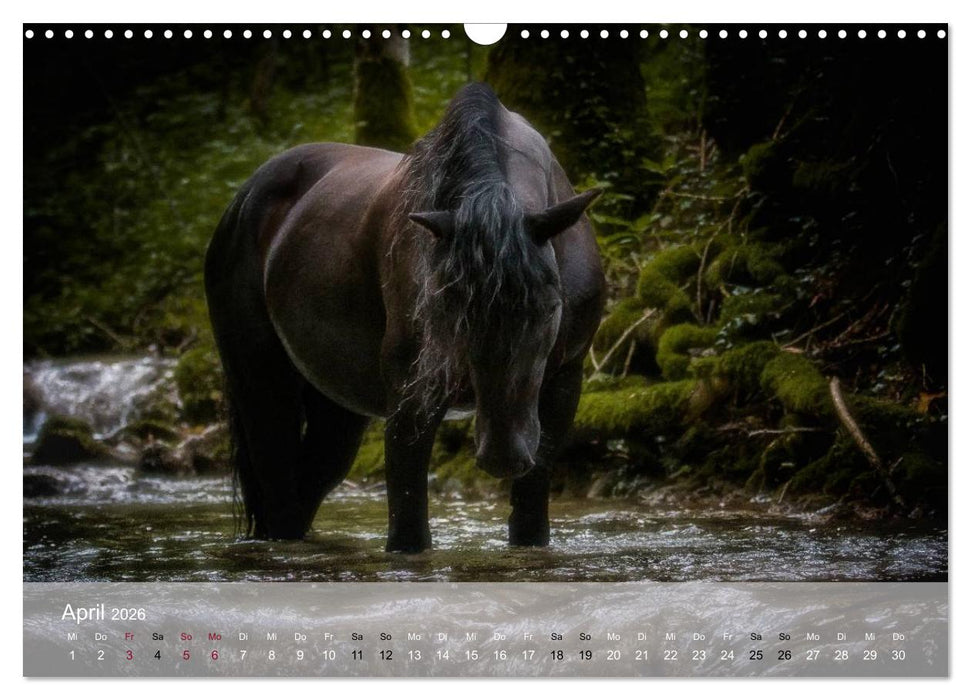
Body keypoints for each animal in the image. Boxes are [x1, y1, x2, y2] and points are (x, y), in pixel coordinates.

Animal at [204, 83, 605, 553]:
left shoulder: (564, 380)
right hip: (262, 382)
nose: (504, 455)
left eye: (549, 306)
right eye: (447, 305)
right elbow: (408, 517)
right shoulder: (413, 393)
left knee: (310, 482)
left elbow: (530, 518)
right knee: (278, 484)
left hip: (335, 405)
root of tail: (244, 197)